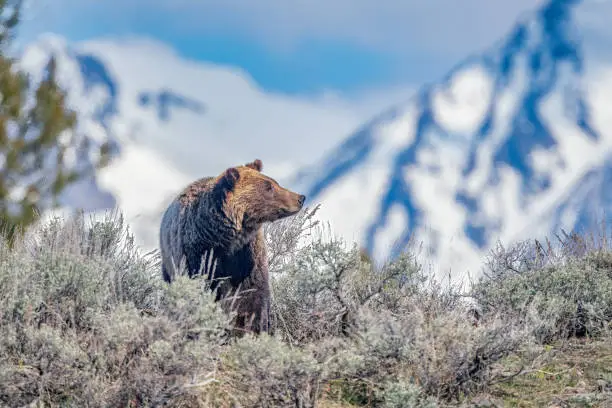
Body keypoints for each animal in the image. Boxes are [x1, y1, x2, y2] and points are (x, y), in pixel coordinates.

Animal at [159, 159, 304, 334]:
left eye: (274, 182)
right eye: (269, 187)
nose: (300, 198)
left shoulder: (248, 255)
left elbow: (254, 295)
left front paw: (255, 328)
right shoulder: (198, 254)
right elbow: (203, 288)